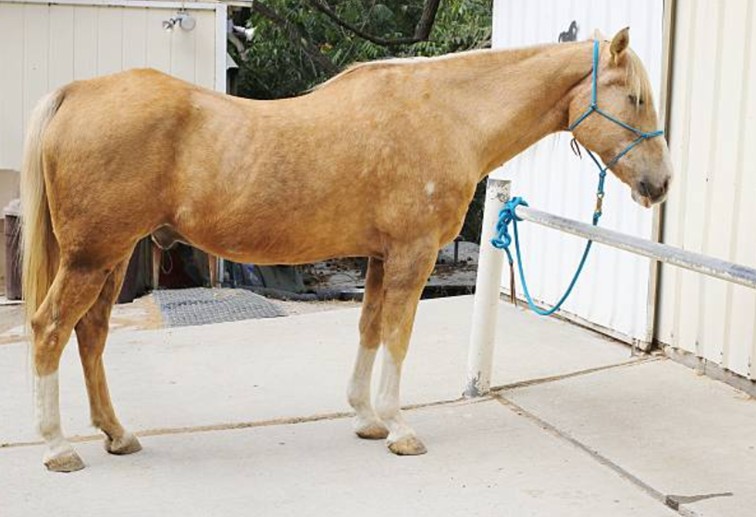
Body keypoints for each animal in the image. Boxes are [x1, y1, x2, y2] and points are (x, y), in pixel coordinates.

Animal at [20, 28, 672, 472]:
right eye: (637, 98)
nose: (661, 183)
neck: (448, 115)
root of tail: (77, 92)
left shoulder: (380, 259)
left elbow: (369, 329)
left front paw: (364, 417)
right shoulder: (412, 256)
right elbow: (398, 337)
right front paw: (399, 427)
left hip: (111, 258)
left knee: (91, 335)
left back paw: (117, 434)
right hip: (91, 258)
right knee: (51, 329)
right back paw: (57, 447)